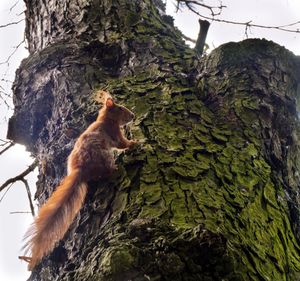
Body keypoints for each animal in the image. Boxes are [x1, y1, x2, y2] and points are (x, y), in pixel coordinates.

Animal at [18, 94, 136, 270]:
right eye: (120, 108)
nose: (133, 116)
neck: (106, 119)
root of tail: (81, 170)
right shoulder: (115, 133)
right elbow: (123, 144)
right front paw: (135, 143)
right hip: (105, 156)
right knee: (106, 172)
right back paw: (115, 168)